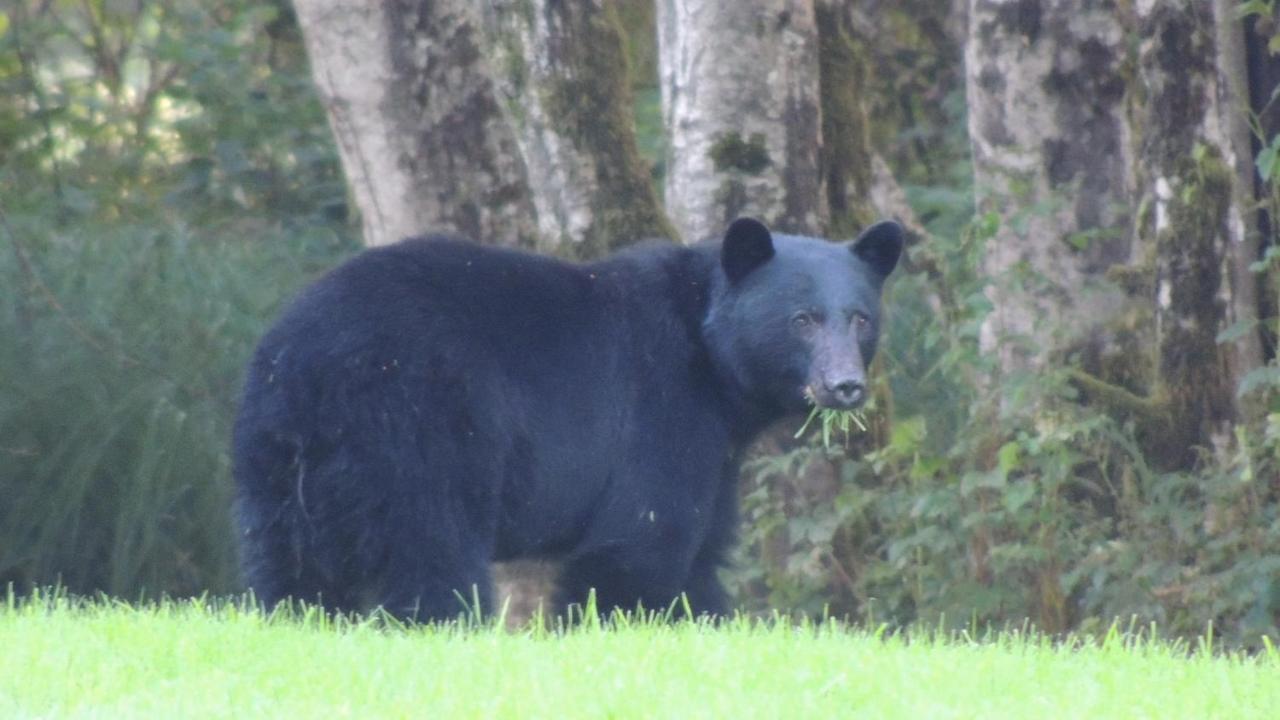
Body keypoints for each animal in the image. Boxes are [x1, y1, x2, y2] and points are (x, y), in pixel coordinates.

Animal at [235, 215, 906, 620]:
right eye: (803, 319)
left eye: (860, 318)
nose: (845, 386)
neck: (713, 362)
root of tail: (310, 363)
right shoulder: (662, 410)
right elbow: (643, 540)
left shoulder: (716, 453)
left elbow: (702, 552)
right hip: (419, 429)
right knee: (432, 550)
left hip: (274, 461)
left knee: (290, 566)